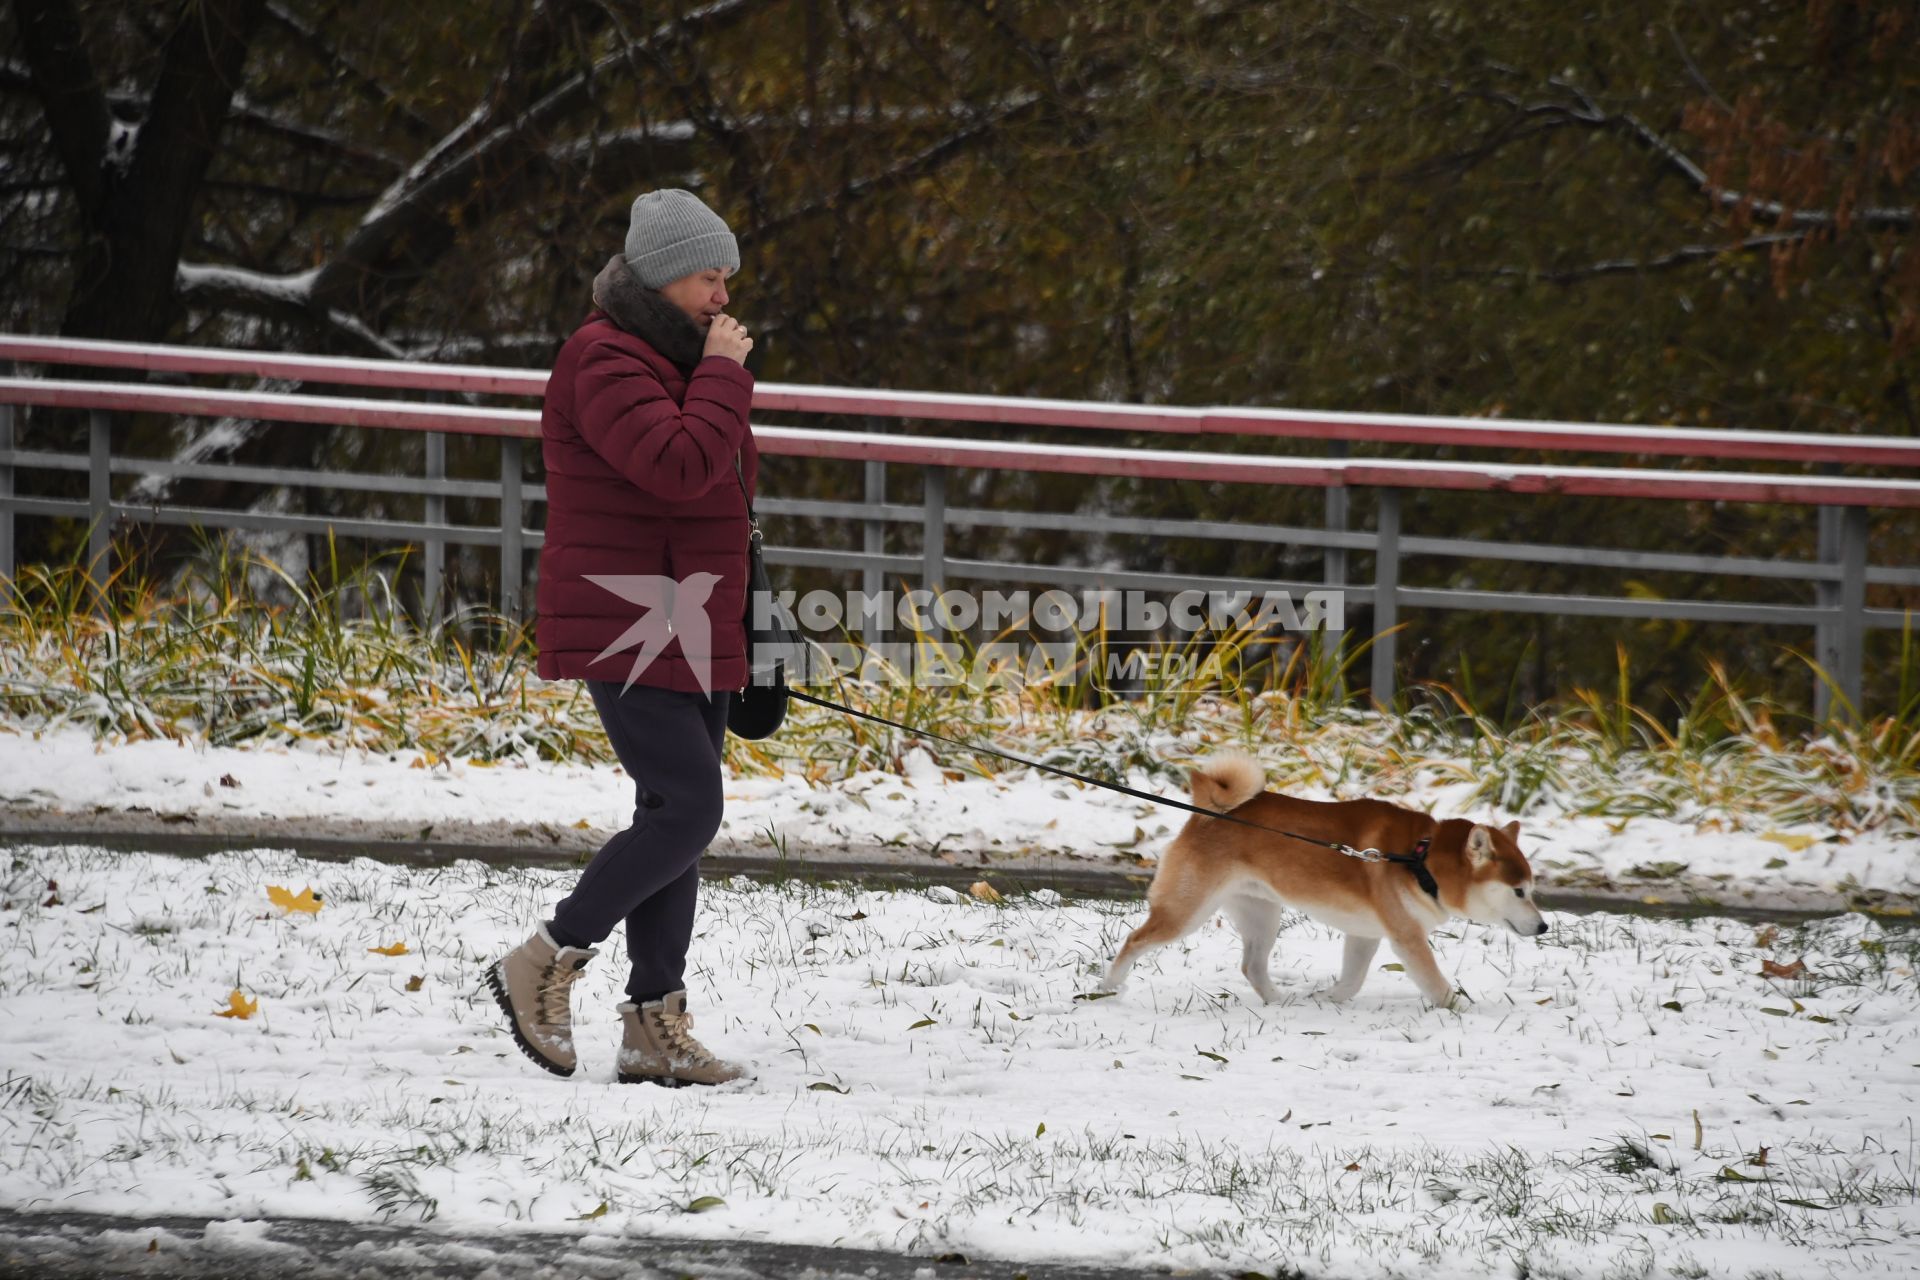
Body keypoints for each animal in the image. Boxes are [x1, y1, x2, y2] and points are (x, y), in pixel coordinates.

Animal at [1105, 752, 1551, 1013]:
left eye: (1532, 889)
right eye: (1518, 891)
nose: (1544, 925)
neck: (1420, 860)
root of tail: (1206, 813)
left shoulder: (1367, 934)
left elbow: (1351, 982)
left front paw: (1325, 999)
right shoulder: (1406, 937)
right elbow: (1436, 984)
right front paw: (1462, 1009)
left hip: (1261, 914)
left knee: (1252, 966)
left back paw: (1280, 1002)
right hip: (1187, 911)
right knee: (1134, 941)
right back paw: (1108, 988)